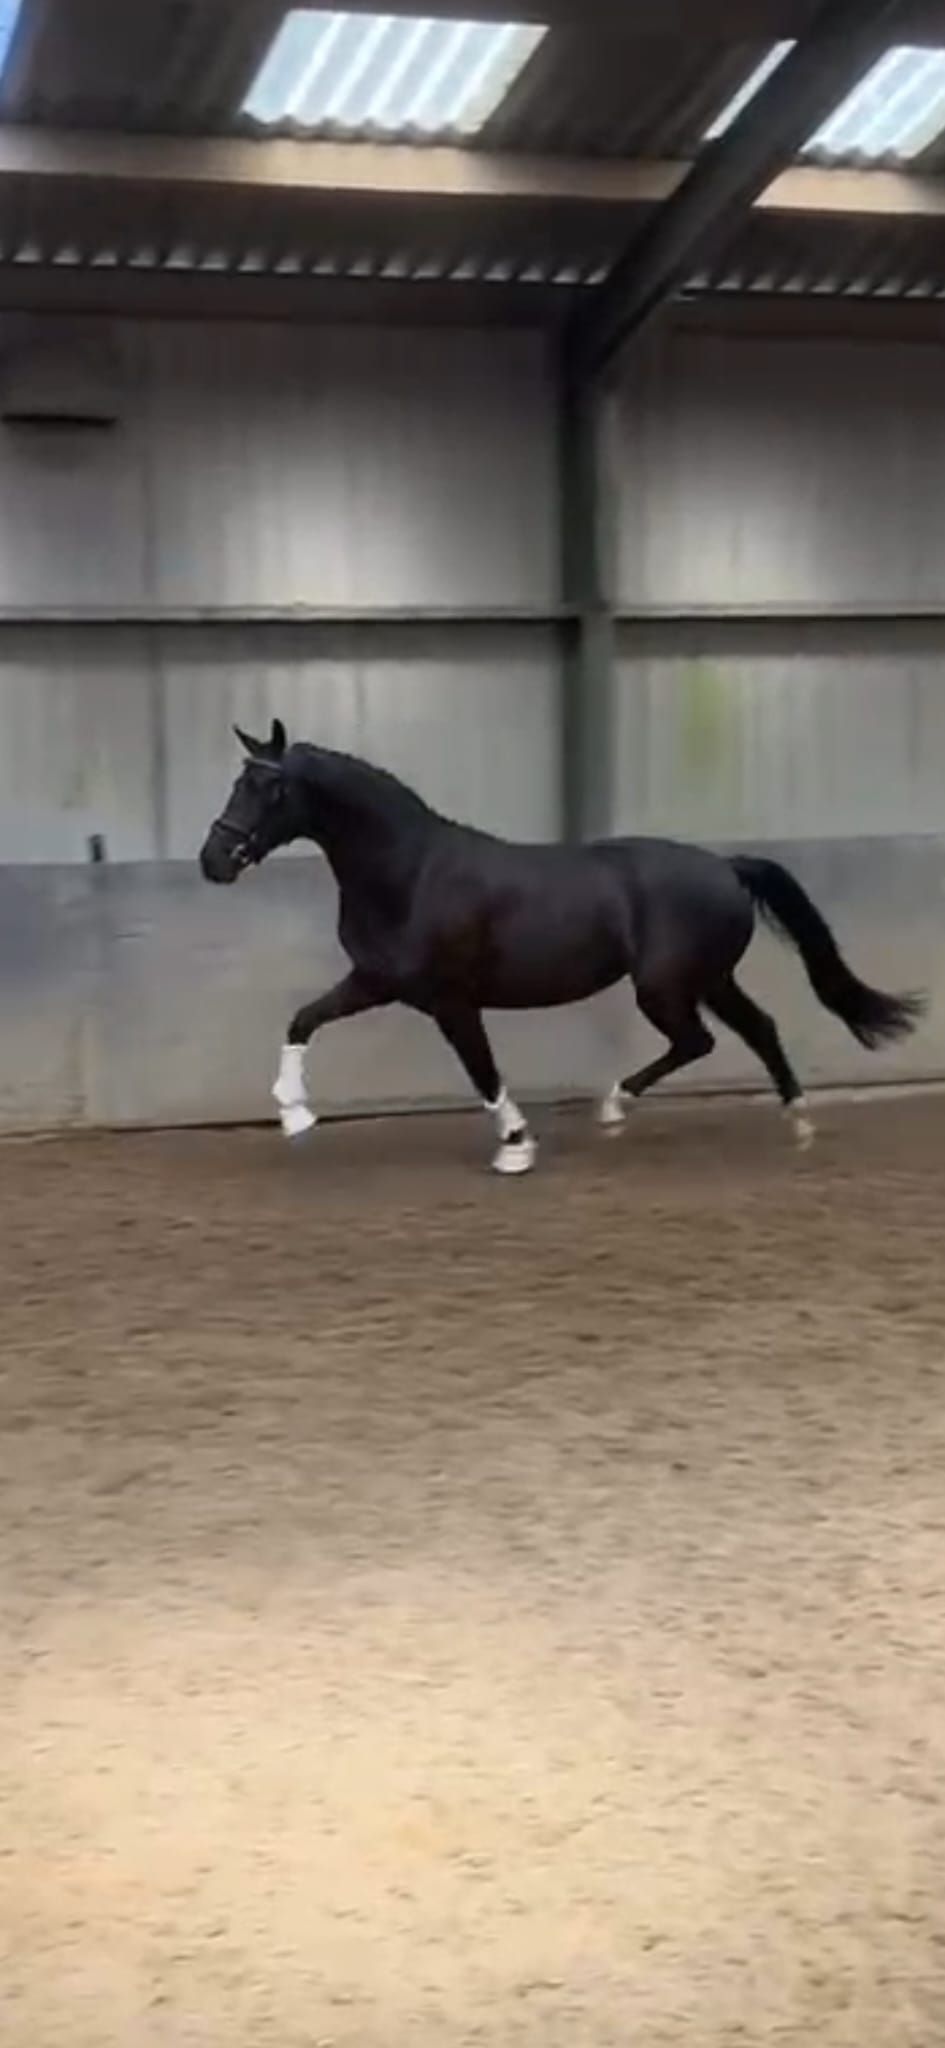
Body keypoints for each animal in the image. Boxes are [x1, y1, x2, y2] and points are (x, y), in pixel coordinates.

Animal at [199, 719, 922, 1174]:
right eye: (236, 783)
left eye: (269, 787)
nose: (213, 860)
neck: (411, 872)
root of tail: (726, 866)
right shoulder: (376, 982)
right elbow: (303, 1019)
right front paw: (294, 1113)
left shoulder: (450, 1001)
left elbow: (483, 1072)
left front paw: (516, 1147)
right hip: (708, 980)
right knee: (756, 1029)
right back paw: (794, 1121)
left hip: (665, 988)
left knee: (699, 1040)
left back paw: (614, 1107)